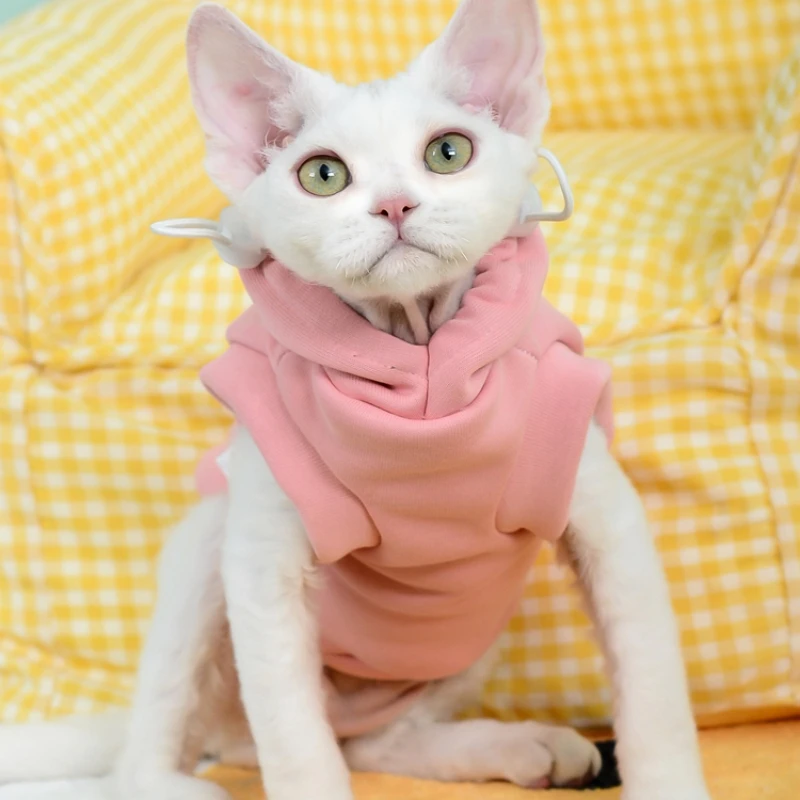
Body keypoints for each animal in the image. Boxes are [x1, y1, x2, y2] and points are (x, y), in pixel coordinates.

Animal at [0, 2, 712, 800]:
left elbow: (653, 695)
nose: (393, 204)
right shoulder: (261, 559)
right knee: (156, 750)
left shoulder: (604, 517)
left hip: (466, 636)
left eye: (448, 154)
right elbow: (297, 744)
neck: (417, 363)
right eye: (323, 174)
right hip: (206, 550)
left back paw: (519, 746)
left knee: (375, 740)